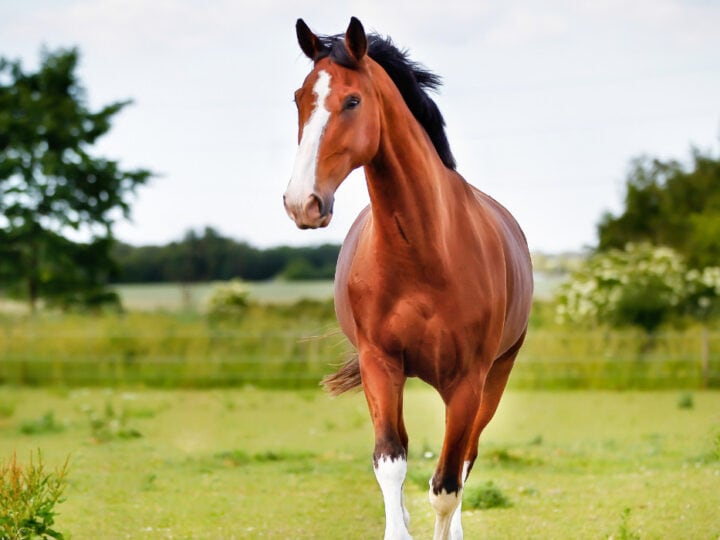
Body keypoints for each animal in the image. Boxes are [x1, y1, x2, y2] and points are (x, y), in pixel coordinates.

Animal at [283, 17, 533, 540]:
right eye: (299, 99)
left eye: (352, 101)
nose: (302, 202)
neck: (422, 252)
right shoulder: (380, 365)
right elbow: (391, 463)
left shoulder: (468, 381)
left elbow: (446, 487)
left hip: (493, 380)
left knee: (465, 461)